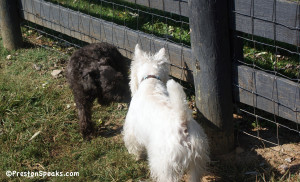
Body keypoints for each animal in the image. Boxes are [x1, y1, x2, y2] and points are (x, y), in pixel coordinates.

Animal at [123, 44, 210, 182]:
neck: (151, 81)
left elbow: (133, 144)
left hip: (165, 165)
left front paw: (136, 156)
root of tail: (182, 122)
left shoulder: (131, 130)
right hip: (198, 160)